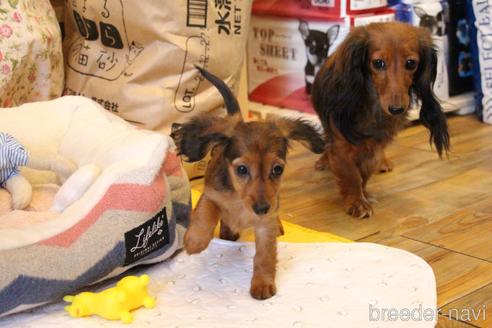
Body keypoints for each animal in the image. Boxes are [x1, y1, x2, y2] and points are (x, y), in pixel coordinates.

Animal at [171, 66, 324, 300]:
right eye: (242, 169)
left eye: (277, 169)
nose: (261, 208)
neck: (240, 200)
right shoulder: (211, 194)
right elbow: (206, 214)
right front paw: (195, 241)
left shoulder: (265, 223)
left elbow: (264, 255)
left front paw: (262, 283)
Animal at [314, 21, 448, 219]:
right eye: (378, 63)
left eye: (411, 63)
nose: (396, 109)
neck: (374, 106)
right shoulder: (340, 145)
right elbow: (351, 175)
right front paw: (356, 201)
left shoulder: (375, 147)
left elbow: (364, 172)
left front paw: (363, 193)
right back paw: (324, 160)